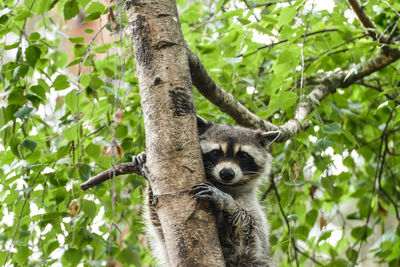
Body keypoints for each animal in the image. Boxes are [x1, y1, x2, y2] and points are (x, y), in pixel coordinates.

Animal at [143, 117, 278, 267]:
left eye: (243, 155)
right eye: (216, 152)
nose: (227, 173)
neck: (224, 185)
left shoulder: (254, 217)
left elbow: (249, 234)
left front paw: (227, 202)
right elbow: (159, 224)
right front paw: (145, 169)